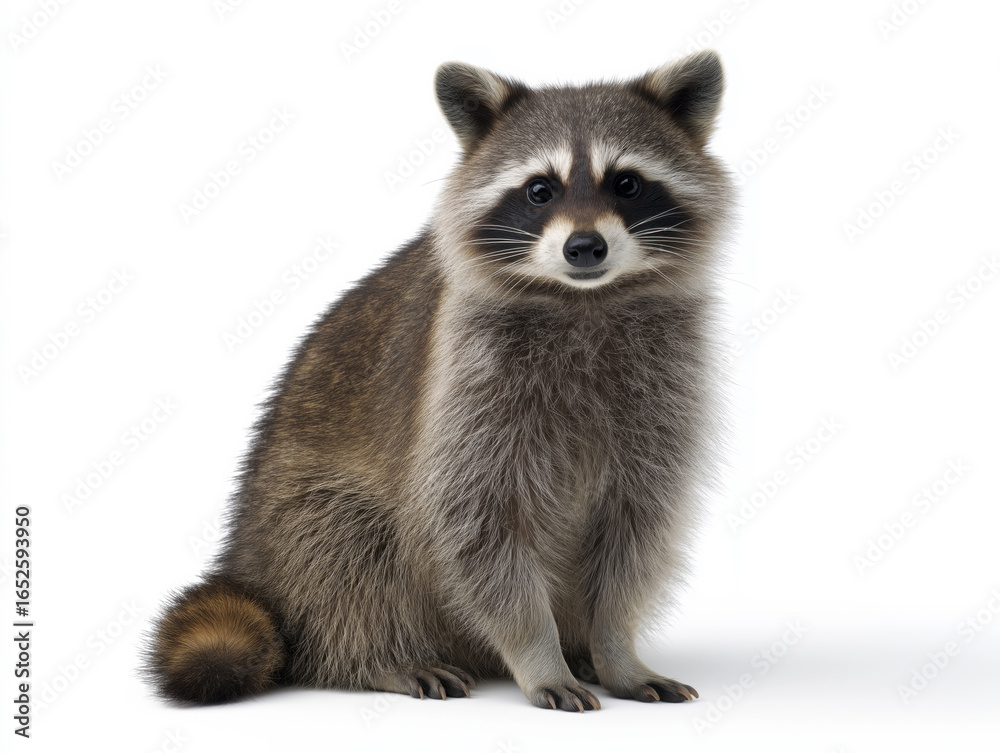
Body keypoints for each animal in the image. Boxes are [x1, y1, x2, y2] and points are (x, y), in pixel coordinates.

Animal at [144, 50, 734, 712]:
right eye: (540, 190)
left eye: (626, 184)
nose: (585, 246)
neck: (584, 299)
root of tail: (246, 560)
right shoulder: (466, 384)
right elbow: (473, 522)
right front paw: (537, 652)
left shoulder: (665, 389)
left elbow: (636, 528)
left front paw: (615, 649)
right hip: (294, 510)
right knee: (345, 546)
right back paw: (379, 657)